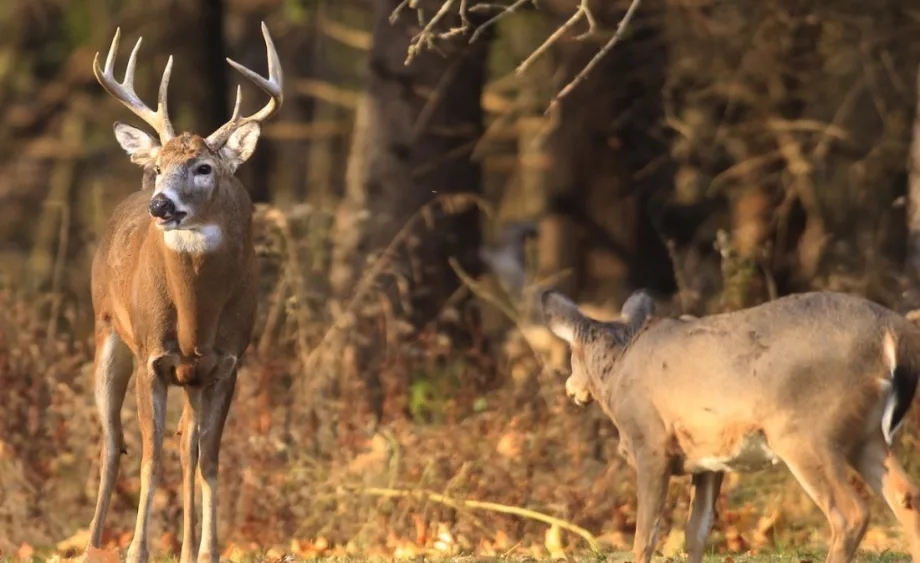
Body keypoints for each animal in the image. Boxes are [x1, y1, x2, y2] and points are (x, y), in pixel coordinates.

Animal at [85, 23, 282, 563]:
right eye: (160, 166)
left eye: (203, 168)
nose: (161, 205)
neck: (197, 319)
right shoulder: (152, 357)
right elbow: (148, 458)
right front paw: (136, 551)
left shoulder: (227, 363)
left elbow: (209, 460)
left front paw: (209, 550)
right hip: (107, 333)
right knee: (112, 443)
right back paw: (92, 546)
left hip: (191, 380)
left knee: (185, 444)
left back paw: (187, 547)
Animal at [542, 288, 920, 563]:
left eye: (571, 355)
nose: (571, 389)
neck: (617, 369)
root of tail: (895, 333)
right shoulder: (709, 459)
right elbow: (696, 532)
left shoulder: (650, 442)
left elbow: (645, 537)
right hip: (866, 435)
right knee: (906, 496)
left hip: (804, 432)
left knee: (850, 513)